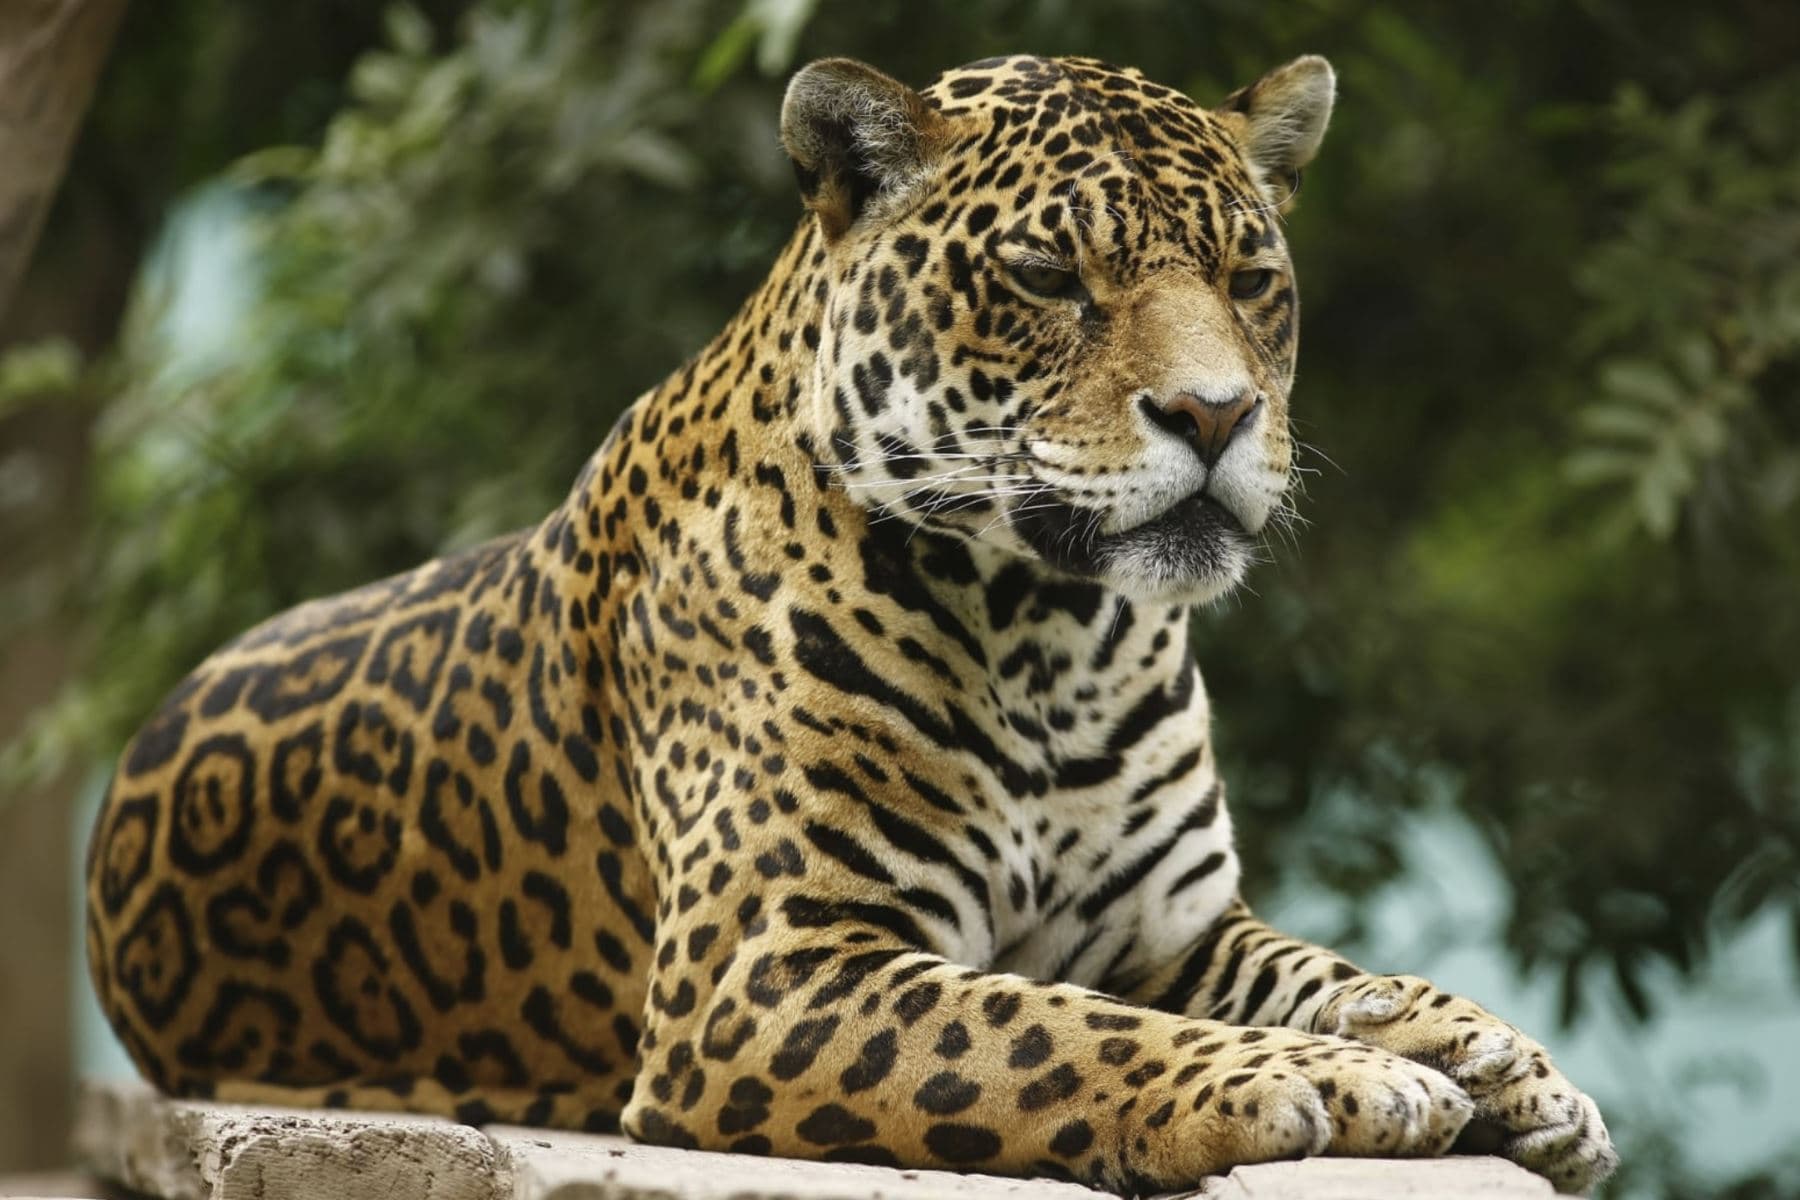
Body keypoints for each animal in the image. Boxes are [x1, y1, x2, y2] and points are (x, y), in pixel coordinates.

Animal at [87, 52, 1619, 1194]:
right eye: (1048, 279)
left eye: (1251, 282)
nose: (1215, 413)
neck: (1057, 632)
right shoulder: (765, 968)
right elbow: (1054, 1032)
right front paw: (1328, 1074)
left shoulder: (1173, 927)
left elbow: (1322, 969)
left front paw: (1500, 1060)